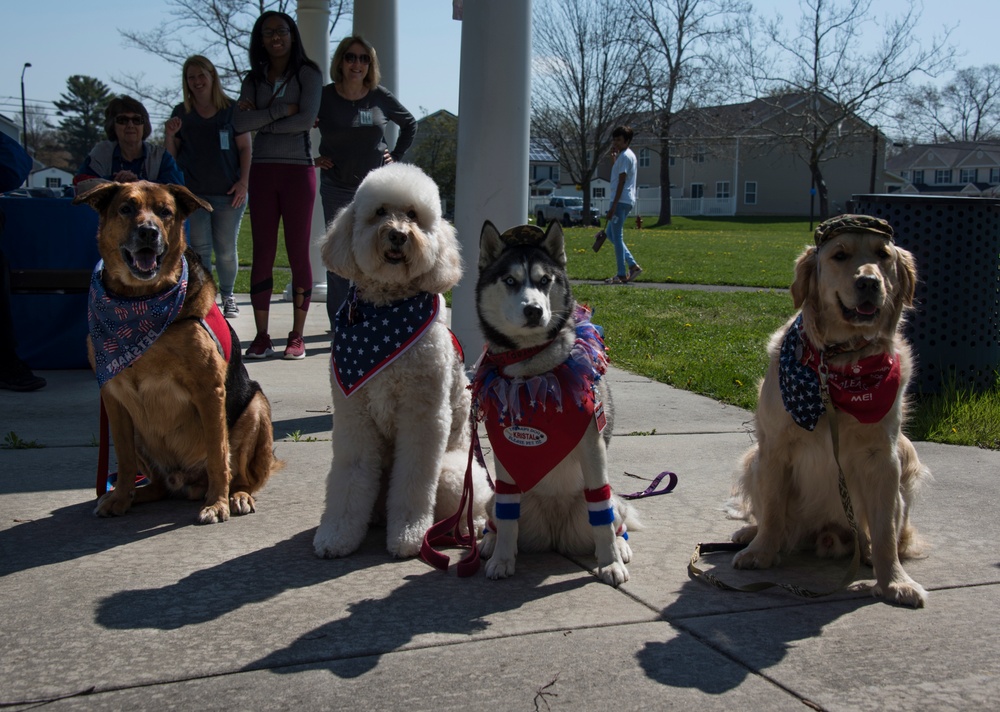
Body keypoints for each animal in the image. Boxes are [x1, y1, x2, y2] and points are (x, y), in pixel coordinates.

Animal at [74, 181, 280, 520]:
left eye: (166, 212)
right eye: (126, 208)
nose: (149, 232)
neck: (139, 304)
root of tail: (185, 482)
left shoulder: (210, 391)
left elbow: (218, 454)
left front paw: (217, 503)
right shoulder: (113, 398)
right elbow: (124, 460)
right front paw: (120, 497)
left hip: (256, 408)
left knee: (240, 474)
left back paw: (236, 495)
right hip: (142, 437)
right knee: (157, 485)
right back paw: (134, 494)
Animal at [310, 164, 486, 560]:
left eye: (414, 215)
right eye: (379, 212)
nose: (398, 236)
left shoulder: (422, 415)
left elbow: (414, 480)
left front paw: (408, 534)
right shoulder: (354, 415)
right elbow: (349, 478)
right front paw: (337, 534)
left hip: (455, 474)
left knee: (469, 507)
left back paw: (470, 529)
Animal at [472, 220, 636, 588]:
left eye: (545, 280)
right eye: (510, 281)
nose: (534, 310)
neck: (534, 370)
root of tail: (554, 533)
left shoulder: (592, 447)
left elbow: (602, 518)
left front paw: (610, 563)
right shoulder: (506, 450)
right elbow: (507, 516)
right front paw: (502, 558)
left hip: (610, 500)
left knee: (612, 517)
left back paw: (620, 547)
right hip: (495, 501)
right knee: (498, 516)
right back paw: (489, 542)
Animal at [728, 216, 928, 608]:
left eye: (883, 255)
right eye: (840, 255)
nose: (869, 282)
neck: (837, 363)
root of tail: (829, 534)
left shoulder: (884, 457)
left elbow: (885, 531)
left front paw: (895, 581)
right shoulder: (774, 448)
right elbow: (772, 510)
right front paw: (761, 552)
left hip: (906, 458)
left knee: (885, 535)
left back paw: (867, 553)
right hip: (751, 459)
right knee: (778, 520)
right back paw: (750, 534)